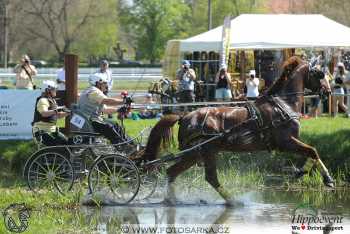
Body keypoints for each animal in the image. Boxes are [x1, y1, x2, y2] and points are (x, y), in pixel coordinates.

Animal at [142, 56, 330, 205]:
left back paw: (171, 199)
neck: (283, 104)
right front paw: (327, 178)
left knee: (172, 172)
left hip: (196, 154)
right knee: (209, 177)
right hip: (202, 151)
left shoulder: (287, 143)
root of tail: (185, 116)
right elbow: (312, 151)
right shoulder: (285, 142)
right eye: (320, 74)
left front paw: (303, 171)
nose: (327, 91)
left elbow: (311, 152)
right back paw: (233, 201)